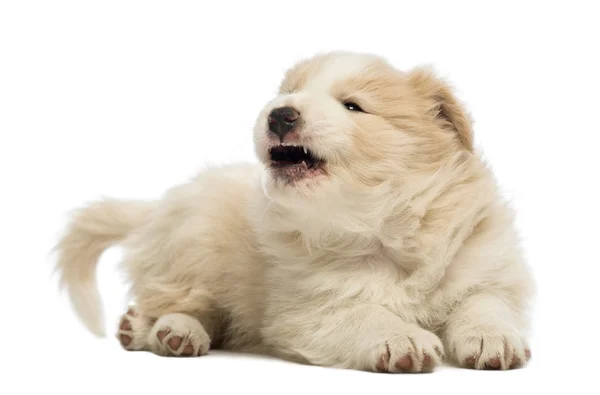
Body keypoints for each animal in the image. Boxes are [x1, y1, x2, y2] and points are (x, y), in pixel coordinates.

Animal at [55, 51, 536, 372]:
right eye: (288, 93)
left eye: (353, 106)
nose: (280, 114)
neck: (378, 227)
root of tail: (157, 207)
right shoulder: (308, 308)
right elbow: (363, 313)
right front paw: (402, 338)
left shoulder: (481, 265)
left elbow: (483, 303)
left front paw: (494, 340)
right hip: (196, 248)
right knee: (179, 301)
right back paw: (163, 331)